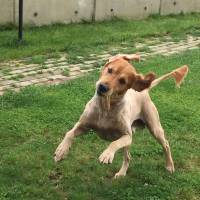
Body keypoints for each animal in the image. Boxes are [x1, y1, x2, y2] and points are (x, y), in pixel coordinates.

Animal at [54, 54, 188, 178]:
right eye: (110, 70)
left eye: (122, 81)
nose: (102, 87)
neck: (106, 108)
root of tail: (144, 91)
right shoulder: (82, 125)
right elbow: (69, 133)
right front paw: (61, 151)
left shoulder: (127, 136)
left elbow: (114, 143)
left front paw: (107, 155)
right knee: (128, 157)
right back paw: (122, 173)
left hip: (154, 127)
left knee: (165, 145)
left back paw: (169, 165)